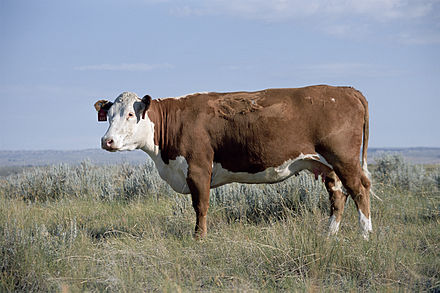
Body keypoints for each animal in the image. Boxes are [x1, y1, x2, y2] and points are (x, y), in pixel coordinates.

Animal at [94, 84, 372, 237]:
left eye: (131, 114)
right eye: (109, 115)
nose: (107, 141)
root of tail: (345, 90)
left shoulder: (198, 168)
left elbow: (200, 206)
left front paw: (199, 238)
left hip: (344, 158)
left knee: (359, 190)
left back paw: (365, 235)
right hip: (328, 165)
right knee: (338, 196)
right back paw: (329, 235)